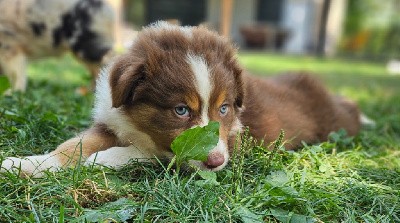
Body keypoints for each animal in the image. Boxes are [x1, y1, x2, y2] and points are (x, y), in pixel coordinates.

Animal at [0, 21, 362, 177]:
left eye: (224, 108)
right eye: (180, 110)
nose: (215, 162)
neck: (138, 129)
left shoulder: (233, 141)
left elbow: (157, 154)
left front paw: (103, 159)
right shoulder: (110, 121)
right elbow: (73, 145)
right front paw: (28, 163)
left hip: (336, 124)